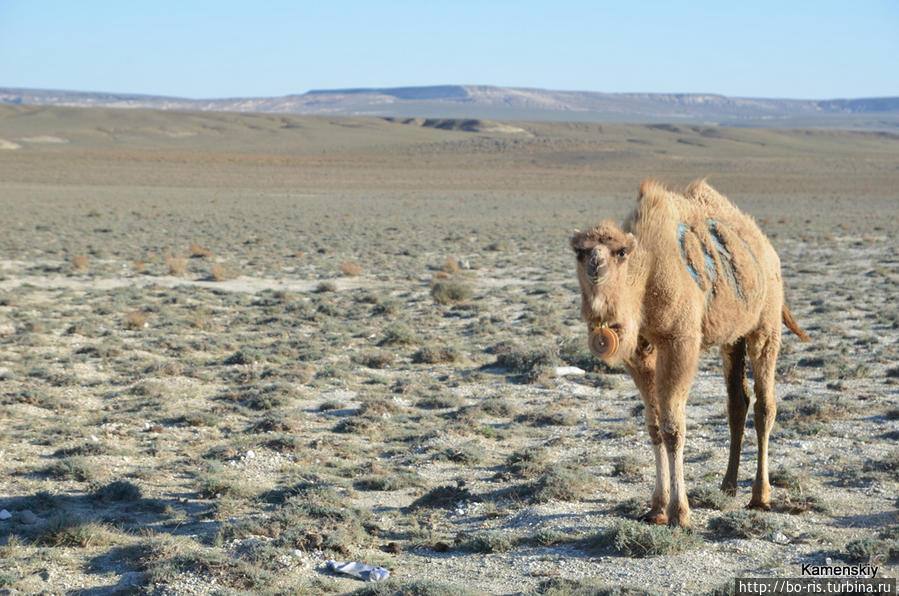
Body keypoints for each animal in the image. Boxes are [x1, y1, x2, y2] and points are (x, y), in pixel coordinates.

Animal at [572, 178, 812, 528]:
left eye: (621, 252)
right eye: (580, 251)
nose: (596, 266)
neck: (647, 274)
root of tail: (766, 250)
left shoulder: (680, 341)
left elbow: (673, 428)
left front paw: (679, 512)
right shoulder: (640, 351)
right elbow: (654, 425)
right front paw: (656, 507)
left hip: (765, 324)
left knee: (765, 406)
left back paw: (760, 497)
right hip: (732, 335)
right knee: (737, 402)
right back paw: (727, 486)